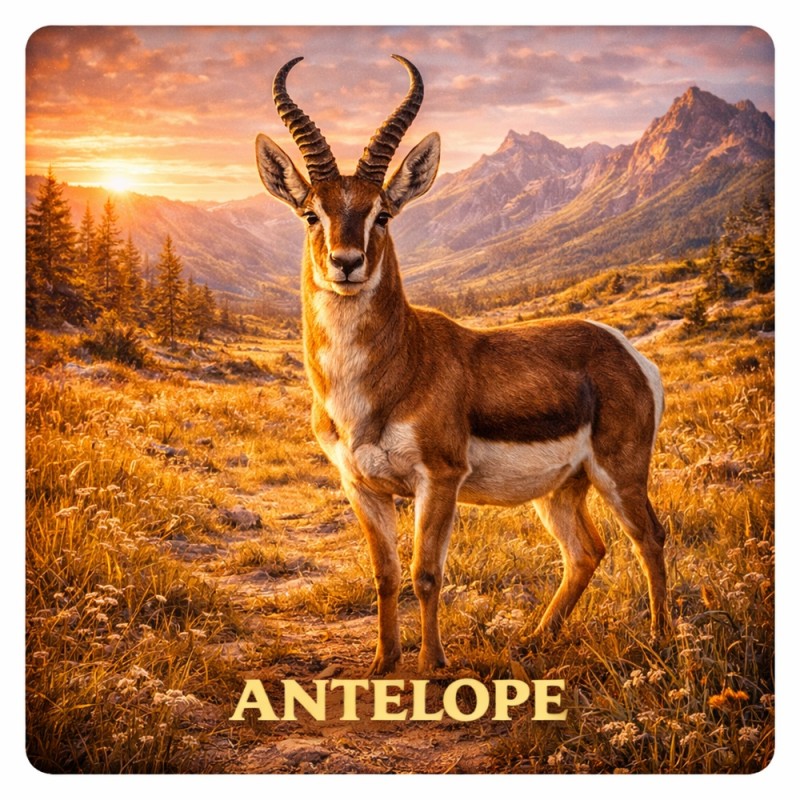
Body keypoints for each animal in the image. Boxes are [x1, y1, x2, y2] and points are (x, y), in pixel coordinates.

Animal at [256, 55, 668, 675]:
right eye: (310, 214)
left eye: (383, 214)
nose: (347, 264)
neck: (384, 379)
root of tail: (628, 352)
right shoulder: (361, 486)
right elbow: (385, 575)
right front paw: (382, 664)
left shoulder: (439, 479)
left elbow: (426, 574)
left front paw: (432, 664)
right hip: (561, 490)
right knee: (586, 551)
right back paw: (533, 640)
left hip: (620, 473)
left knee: (650, 538)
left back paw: (665, 641)